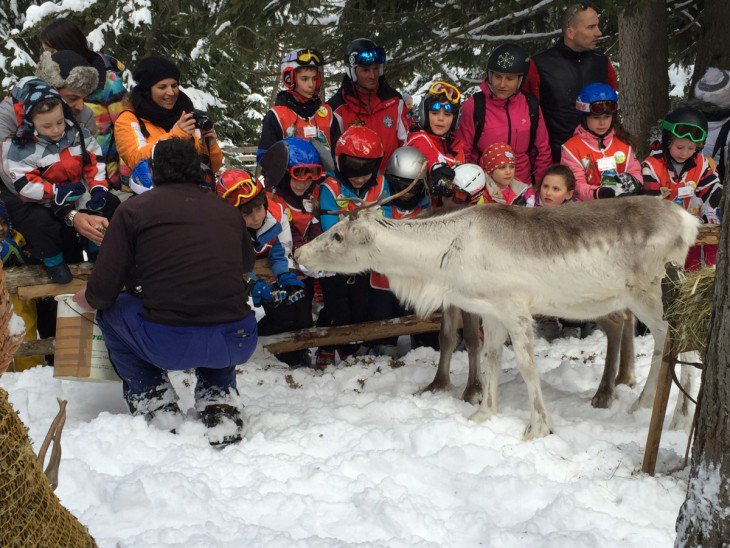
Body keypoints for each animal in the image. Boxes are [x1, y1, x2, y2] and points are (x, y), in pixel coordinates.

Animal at [295, 196, 698, 439]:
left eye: (338, 235)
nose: (298, 252)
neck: (440, 262)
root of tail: (689, 221)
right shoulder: (489, 311)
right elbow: (489, 359)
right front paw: (484, 413)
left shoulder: (515, 307)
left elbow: (526, 366)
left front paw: (538, 427)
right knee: (663, 341)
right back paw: (642, 405)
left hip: (653, 292)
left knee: (685, 343)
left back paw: (678, 418)